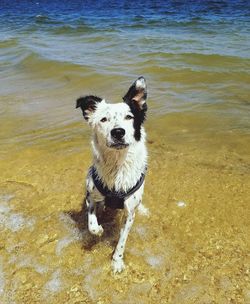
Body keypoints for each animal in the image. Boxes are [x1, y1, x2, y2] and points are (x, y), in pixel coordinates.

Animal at [76, 76, 148, 274]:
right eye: (103, 119)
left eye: (129, 117)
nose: (118, 132)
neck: (117, 164)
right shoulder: (91, 194)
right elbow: (91, 221)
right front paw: (98, 230)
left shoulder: (129, 212)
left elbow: (122, 241)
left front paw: (117, 261)